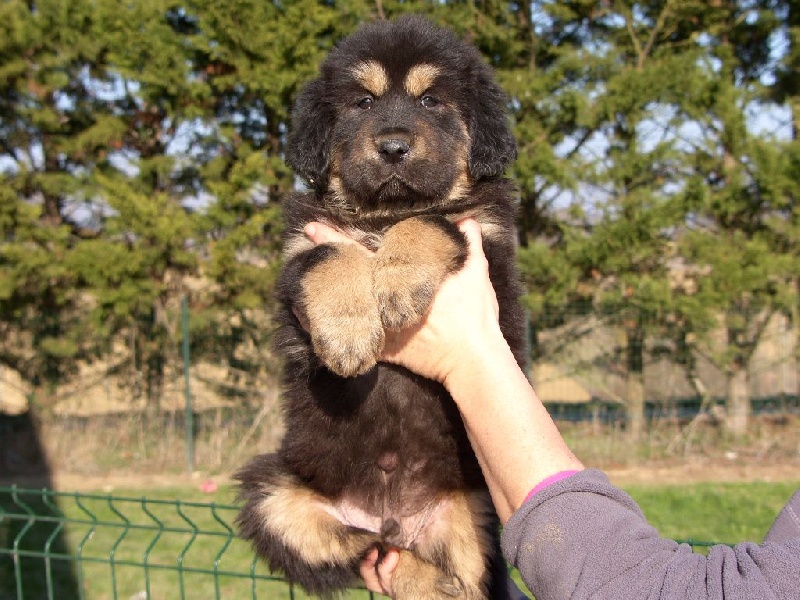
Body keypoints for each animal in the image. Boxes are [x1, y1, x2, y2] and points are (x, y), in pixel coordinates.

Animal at [236, 15, 524, 600]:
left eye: (432, 100)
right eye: (363, 102)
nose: (392, 147)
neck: (381, 214)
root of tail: (390, 515)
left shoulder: (486, 240)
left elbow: (429, 221)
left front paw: (397, 283)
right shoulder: (301, 249)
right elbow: (332, 256)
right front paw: (349, 339)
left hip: (479, 510)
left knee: (456, 576)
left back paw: (432, 580)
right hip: (272, 490)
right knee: (361, 552)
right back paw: (388, 553)